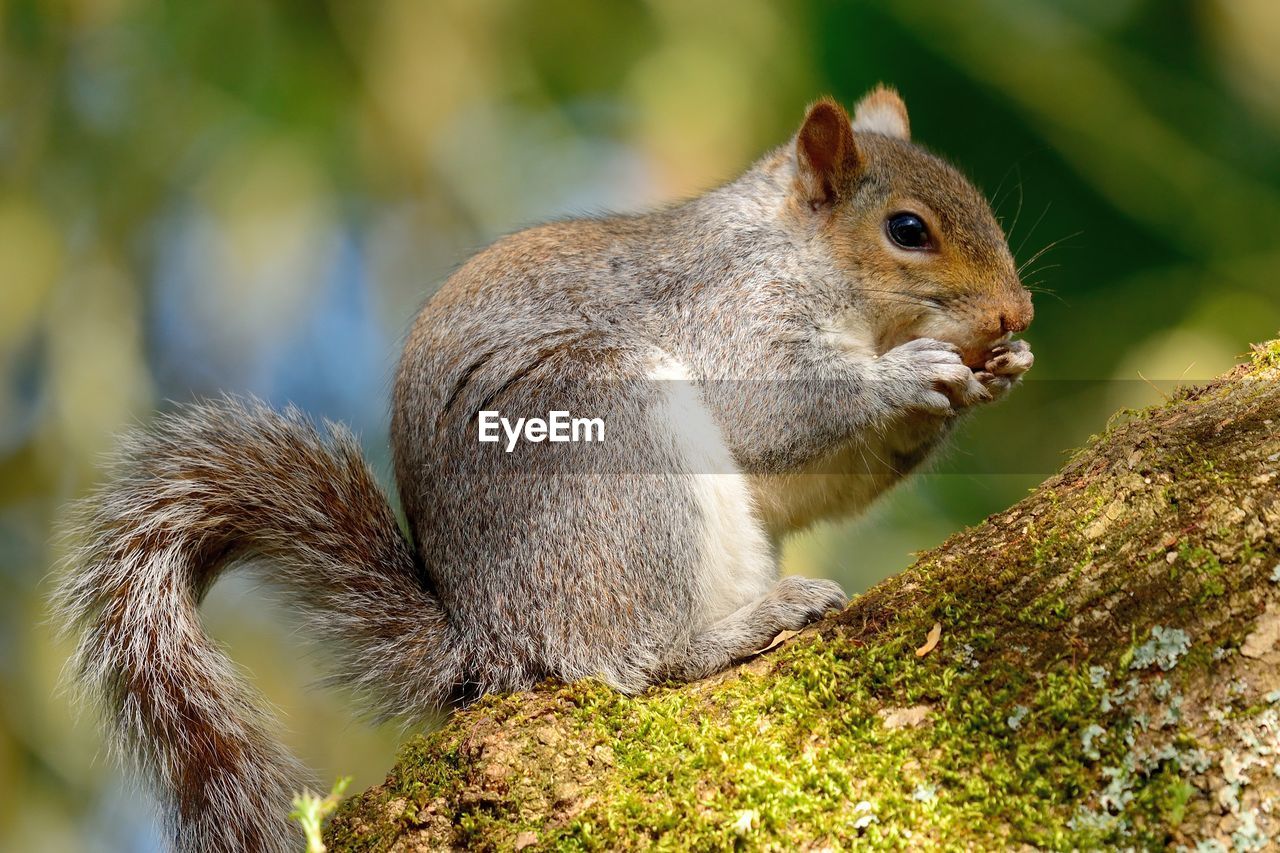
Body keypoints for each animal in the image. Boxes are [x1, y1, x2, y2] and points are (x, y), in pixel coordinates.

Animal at [55, 87, 1039, 850]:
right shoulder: (733, 318)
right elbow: (775, 415)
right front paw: (912, 376)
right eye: (907, 231)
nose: (1015, 313)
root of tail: (489, 640)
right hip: (607, 437)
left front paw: (999, 372)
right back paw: (742, 627)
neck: (795, 254)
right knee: (634, 658)